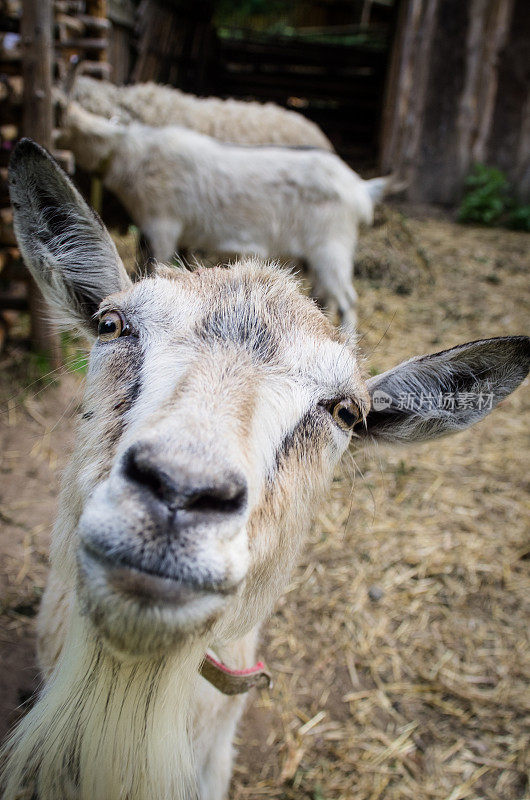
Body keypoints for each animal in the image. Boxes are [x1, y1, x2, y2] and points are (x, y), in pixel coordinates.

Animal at [57, 103, 392, 328]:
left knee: (348, 300)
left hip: (332, 246)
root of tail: (361, 188)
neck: (133, 152)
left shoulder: (163, 224)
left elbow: (155, 267)